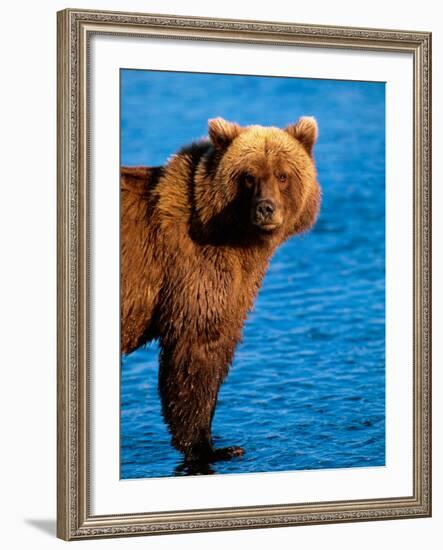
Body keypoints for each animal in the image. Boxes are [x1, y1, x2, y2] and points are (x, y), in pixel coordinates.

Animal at [121, 117, 322, 466]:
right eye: (249, 176)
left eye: (282, 174)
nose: (266, 208)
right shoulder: (194, 269)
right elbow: (197, 350)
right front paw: (212, 447)